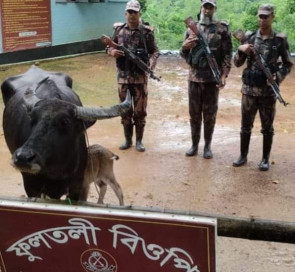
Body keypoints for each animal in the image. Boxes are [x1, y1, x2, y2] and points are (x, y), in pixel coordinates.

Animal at [1, 65, 131, 202]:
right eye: (32, 118)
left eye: (65, 122)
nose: (23, 157)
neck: (56, 171)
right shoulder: (31, 187)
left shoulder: (77, 186)